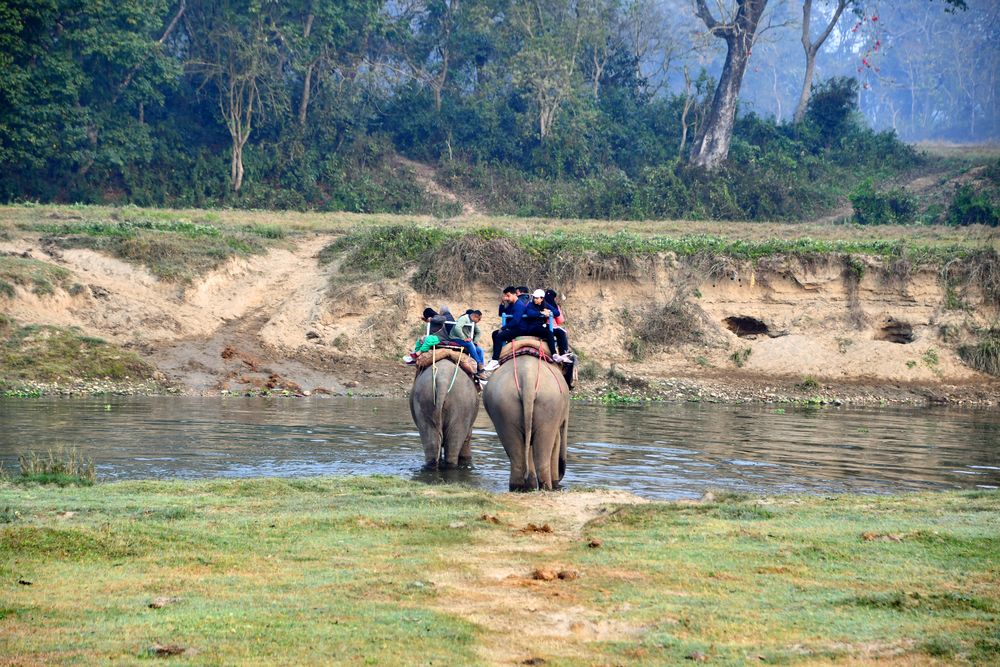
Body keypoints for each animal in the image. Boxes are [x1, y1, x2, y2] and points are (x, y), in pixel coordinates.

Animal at [484, 354, 572, 490]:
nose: (562, 472)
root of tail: (527, 377)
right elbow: (555, 442)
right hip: (549, 405)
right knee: (543, 458)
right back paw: (547, 488)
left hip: (503, 406)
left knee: (517, 460)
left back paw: (520, 488)